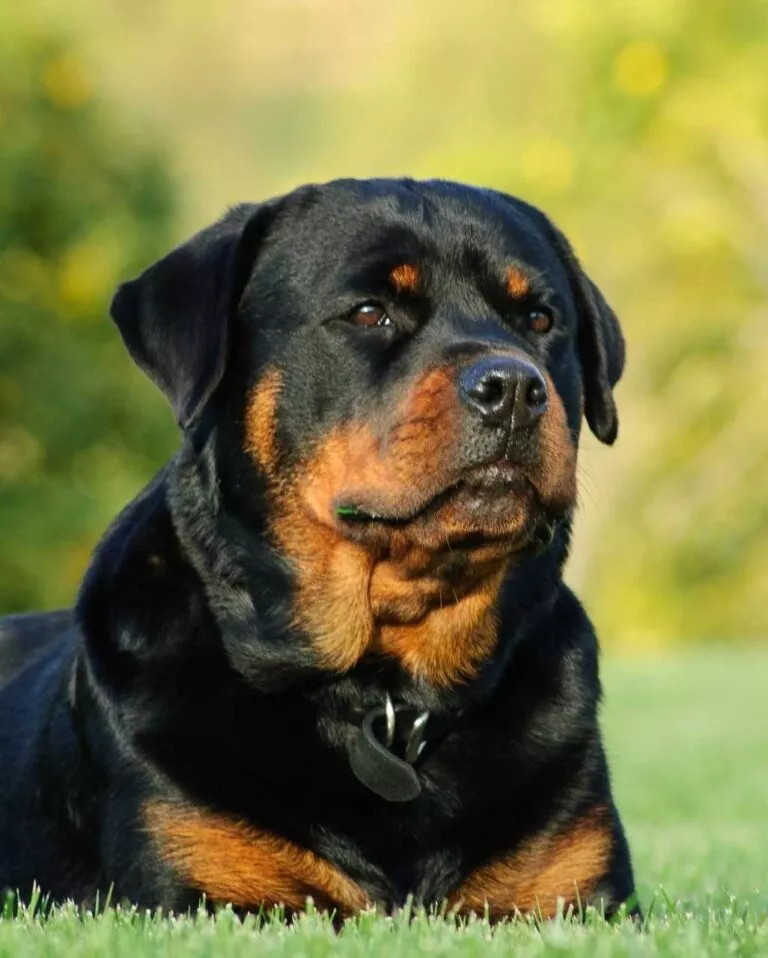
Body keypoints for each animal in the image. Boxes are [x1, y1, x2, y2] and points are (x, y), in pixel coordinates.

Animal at [0, 180, 636, 924]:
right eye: (368, 313)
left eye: (539, 318)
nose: (512, 386)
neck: (387, 699)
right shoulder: (199, 889)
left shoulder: (579, 898)